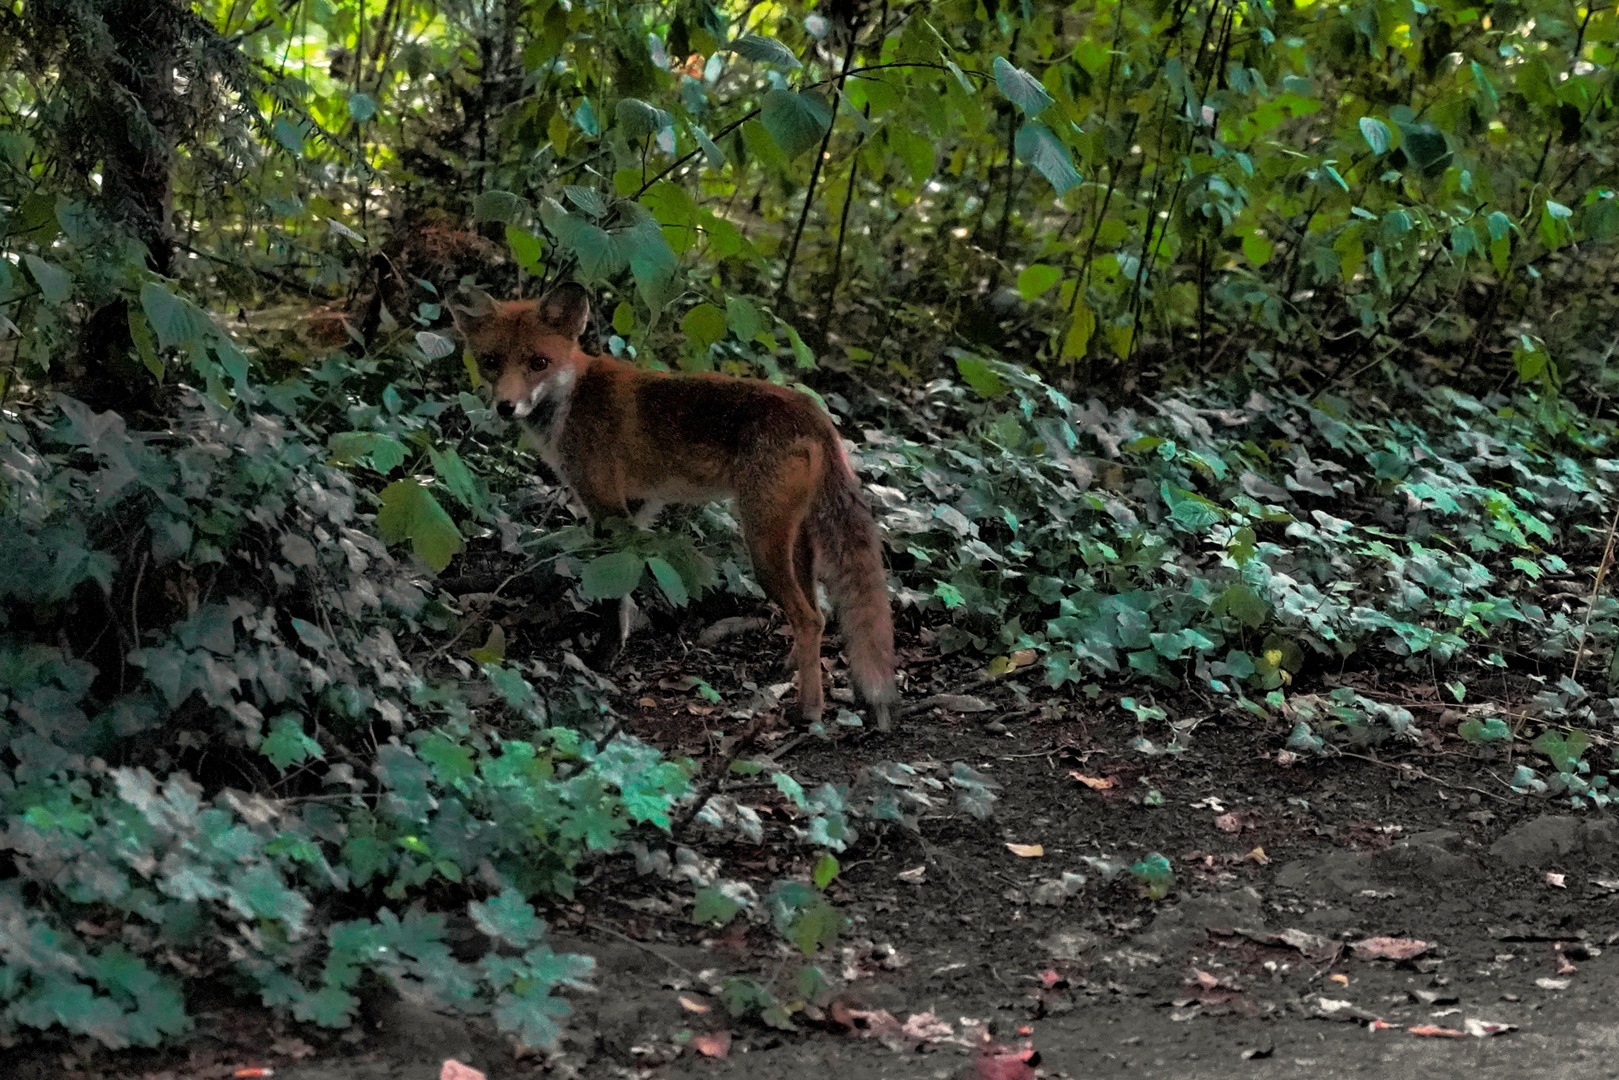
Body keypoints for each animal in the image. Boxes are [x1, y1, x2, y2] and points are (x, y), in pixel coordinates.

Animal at [446, 283, 900, 731]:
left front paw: (602, 658)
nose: (505, 406)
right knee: (818, 610)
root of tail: (814, 412)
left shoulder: (606, 506)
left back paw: (809, 709)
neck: (570, 400)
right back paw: (790, 669)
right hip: (796, 544)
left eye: (538, 362)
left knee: (811, 618)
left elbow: (611, 596)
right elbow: (625, 586)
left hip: (762, 544)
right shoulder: (638, 504)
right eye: (490, 361)